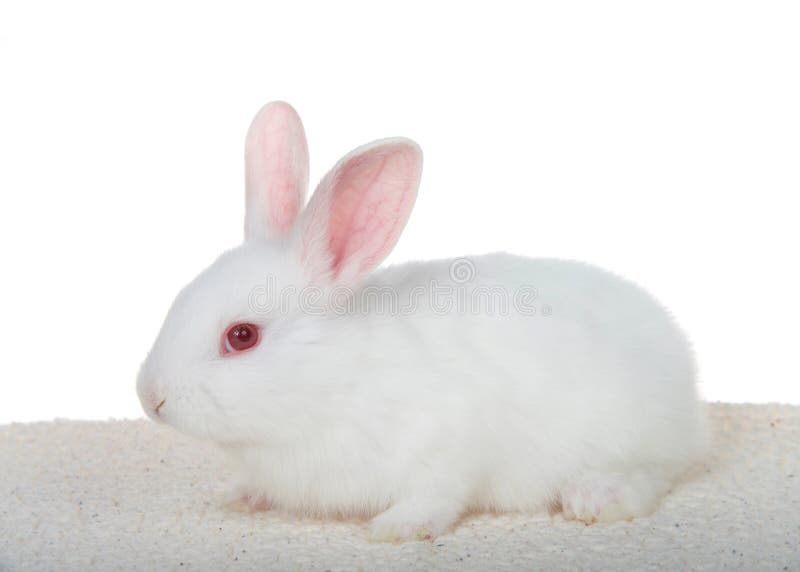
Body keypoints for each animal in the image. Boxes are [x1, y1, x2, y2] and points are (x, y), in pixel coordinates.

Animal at [137, 101, 707, 542]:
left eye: (242, 337)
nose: (150, 397)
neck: (334, 376)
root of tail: (682, 369)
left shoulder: (447, 447)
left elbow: (436, 494)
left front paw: (397, 528)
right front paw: (240, 495)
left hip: (627, 438)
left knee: (650, 478)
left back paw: (593, 497)